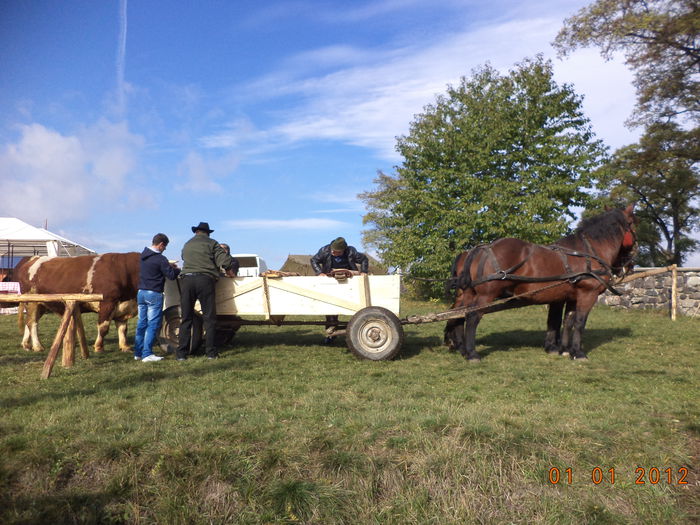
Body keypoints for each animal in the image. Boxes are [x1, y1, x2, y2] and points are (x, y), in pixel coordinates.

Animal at [446, 205, 636, 360]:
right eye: (633, 223)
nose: (630, 262)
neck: (589, 252)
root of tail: (481, 249)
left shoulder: (571, 296)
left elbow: (566, 321)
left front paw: (565, 349)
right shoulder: (587, 294)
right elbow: (579, 322)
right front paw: (578, 352)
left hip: (469, 293)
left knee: (459, 315)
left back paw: (462, 349)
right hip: (486, 294)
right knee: (472, 317)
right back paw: (472, 354)